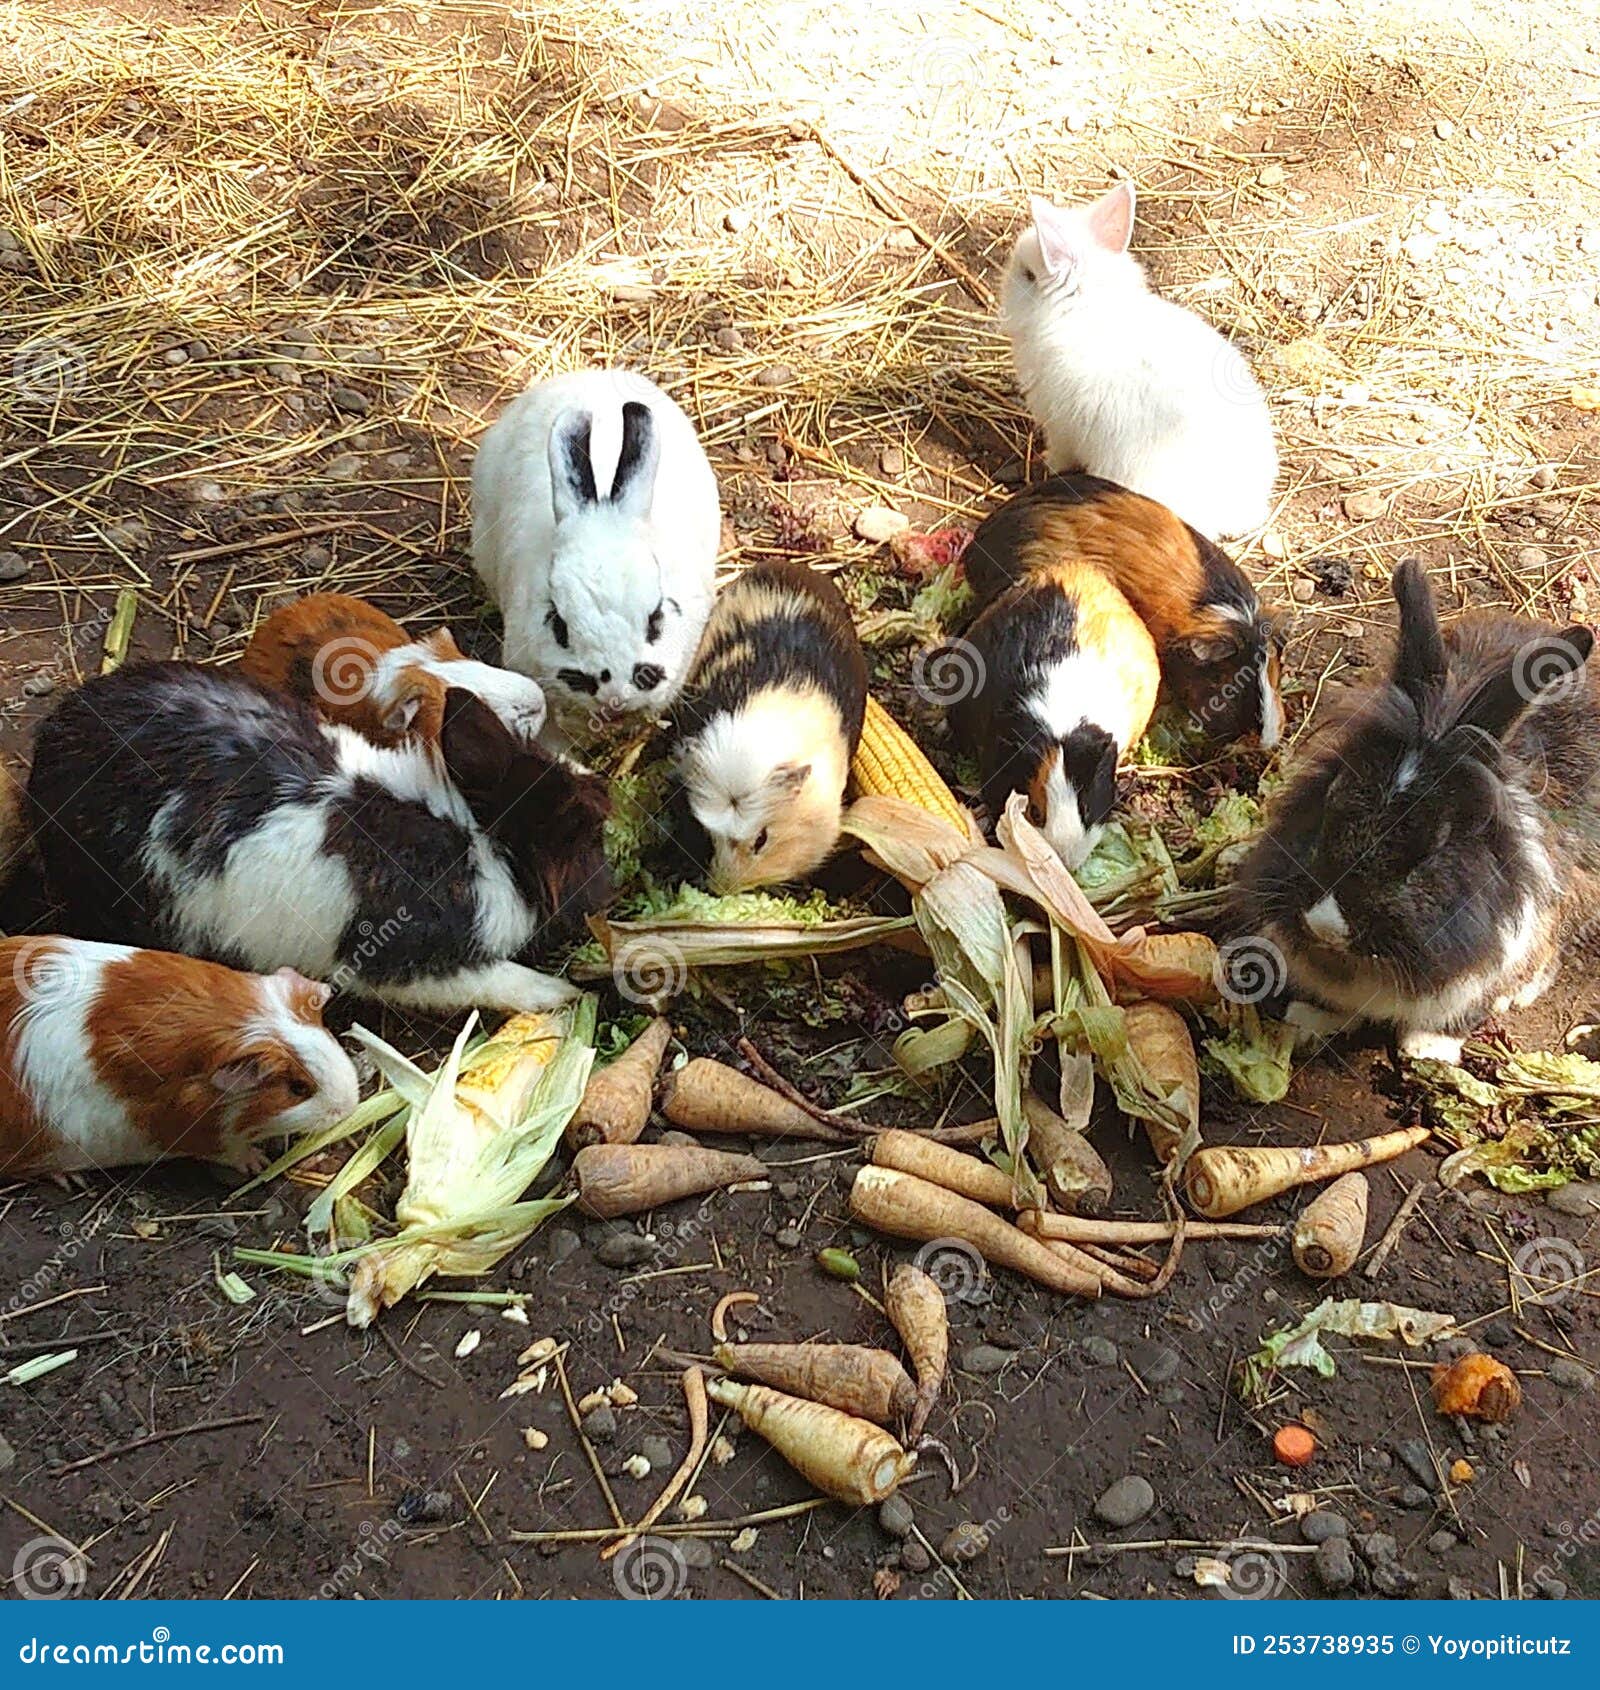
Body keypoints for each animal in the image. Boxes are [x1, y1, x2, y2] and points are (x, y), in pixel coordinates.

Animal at [1, 937, 358, 1176]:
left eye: (328, 1035)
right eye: (298, 1088)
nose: (350, 1106)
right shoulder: (192, 1134)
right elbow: (229, 1149)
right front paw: (258, 1163)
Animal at [25, 662, 611, 1018]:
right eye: (590, 835)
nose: (612, 888)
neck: (482, 838)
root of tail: (51, 742)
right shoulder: (406, 967)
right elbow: (495, 980)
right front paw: (561, 994)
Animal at [1000, 181, 1278, 542]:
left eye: (1029, 275)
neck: (1086, 311)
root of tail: (1240, 510)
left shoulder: (1060, 427)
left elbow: (1060, 454)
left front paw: (1047, 463)